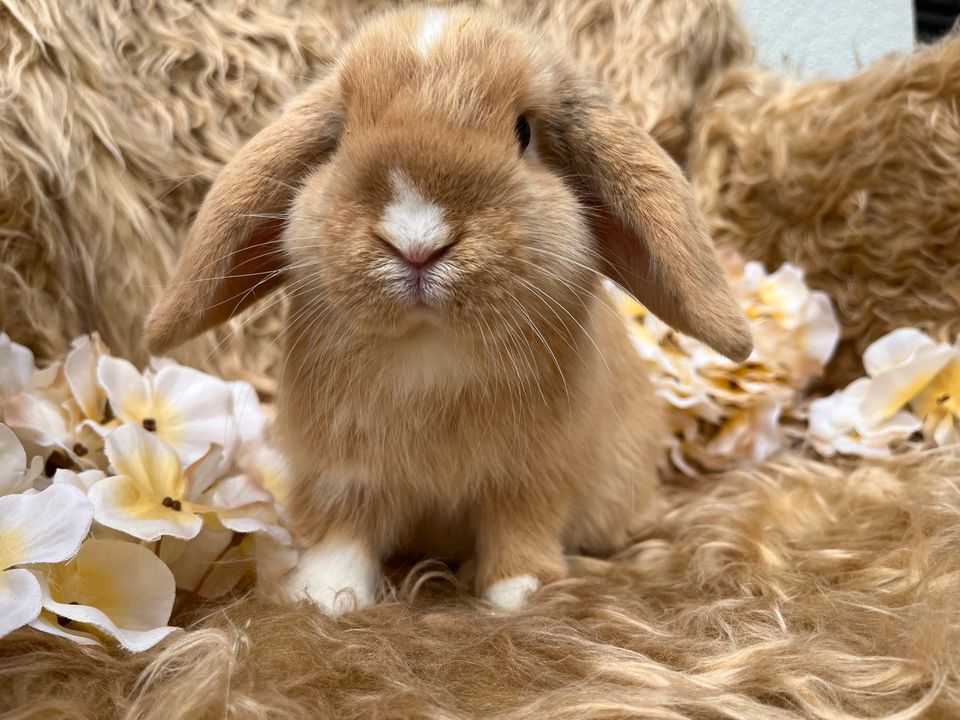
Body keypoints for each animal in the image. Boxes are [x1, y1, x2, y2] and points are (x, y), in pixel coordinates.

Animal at [144, 4, 752, 612]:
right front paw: (323, 596)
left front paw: (517, 594)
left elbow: (519, 529)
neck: (430, 346)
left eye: (523, 131)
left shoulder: (531, 476)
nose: (417, 240)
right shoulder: (345, 471)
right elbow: (343, 531)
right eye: (340, 136)